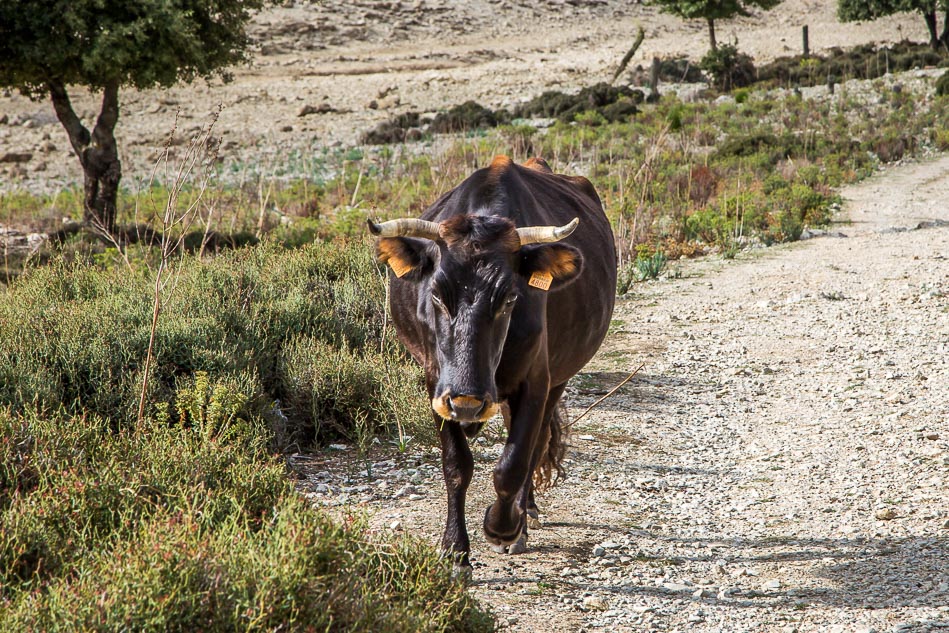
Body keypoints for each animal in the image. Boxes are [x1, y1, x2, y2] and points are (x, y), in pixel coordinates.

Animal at [368, 155, 616, 575]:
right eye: (437, 294)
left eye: (510, 298)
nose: (467, 400)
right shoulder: (436, 384)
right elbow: (457, 465)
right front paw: (455, 550)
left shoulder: (536, 381)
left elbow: (513, 463)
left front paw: (503, 529)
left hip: (558, 380)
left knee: (535, 446)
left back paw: (525, 511)